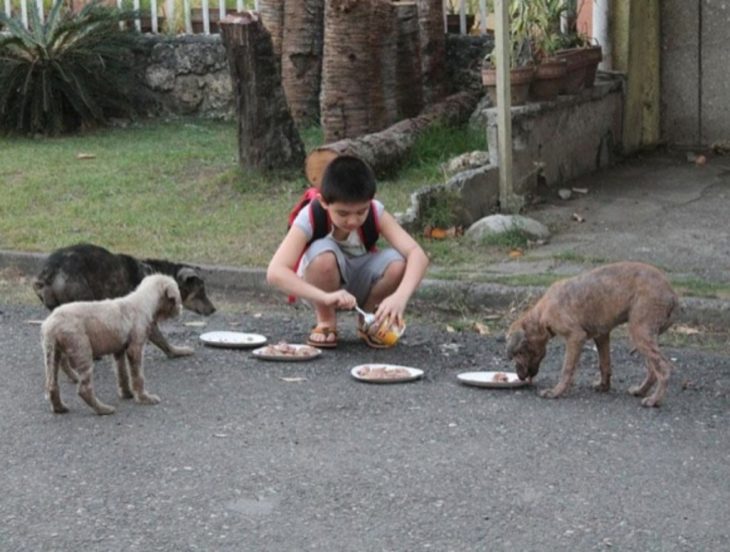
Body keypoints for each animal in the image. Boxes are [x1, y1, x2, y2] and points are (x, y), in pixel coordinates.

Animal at [33, 243, 215, 358]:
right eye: (201, 291)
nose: (214, 310)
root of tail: (49, 272)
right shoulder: (146, 320)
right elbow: (162, 341)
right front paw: (177, 352)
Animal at [40, 272, 182, 414]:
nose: (180, 310)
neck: (143, 300)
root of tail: (51, 324)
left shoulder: (119, 350)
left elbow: (122, 373)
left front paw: (126, 393)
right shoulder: (135, 348)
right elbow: (137, 375)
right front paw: (144, 397)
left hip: (53, 353)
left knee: (52, 384)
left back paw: (59, 408)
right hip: (81, 350)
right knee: (84, 389)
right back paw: (103, 409)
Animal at [506, 260, 676, 408]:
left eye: (518, 354)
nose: (520, 377)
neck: (541, 316)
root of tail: (672, 293)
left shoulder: (575, 337)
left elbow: (567, 369)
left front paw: (556, 392)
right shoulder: (601, 335)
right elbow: (604, 363)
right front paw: (603, 386)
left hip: (639, 331)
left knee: (663, 368)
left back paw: (654, 400)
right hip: (644, 334)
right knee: (653, 369)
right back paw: (641, 391)